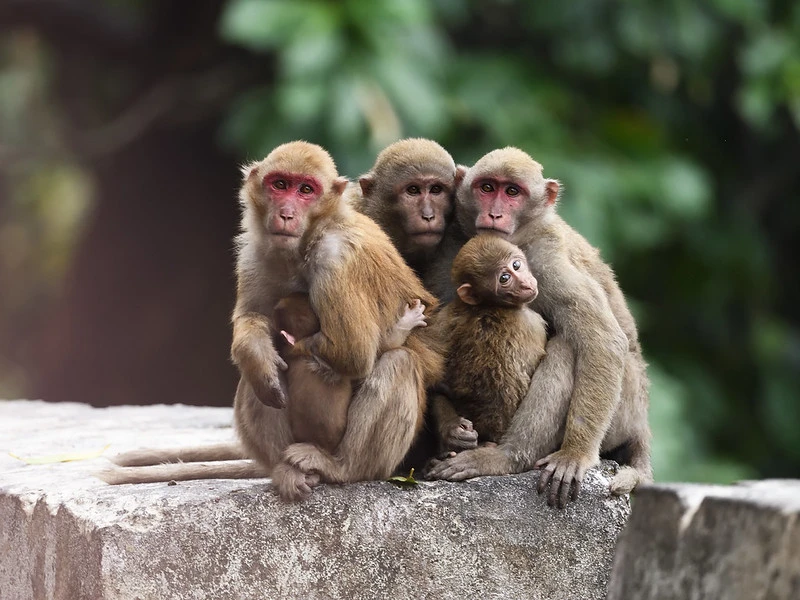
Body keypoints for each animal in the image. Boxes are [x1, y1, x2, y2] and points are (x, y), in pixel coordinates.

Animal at [431, 235, 547, 447]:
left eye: (516, 265)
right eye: (504, 279)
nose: (526, 284)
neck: (489, 305)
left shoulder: (444, 316)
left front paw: (452, 429)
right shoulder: (532, 322)